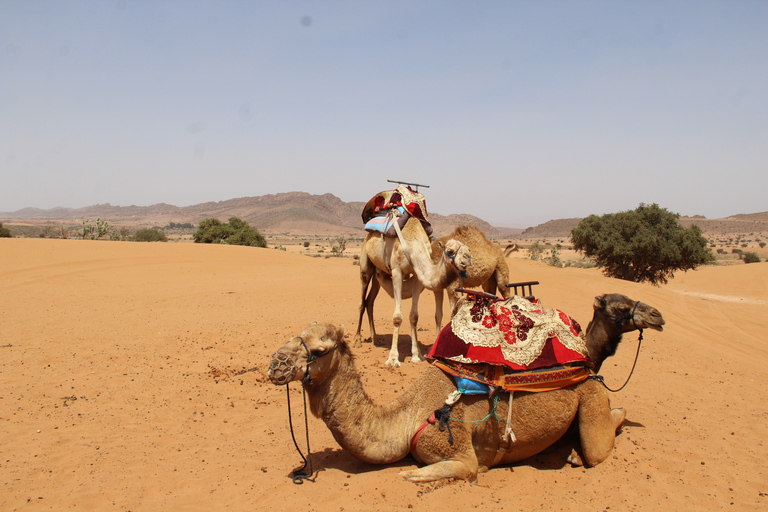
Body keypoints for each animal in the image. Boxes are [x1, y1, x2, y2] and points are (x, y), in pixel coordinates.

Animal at [268, 294, 664, 482]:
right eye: (296, 335)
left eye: (319, 350)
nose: (275, 365)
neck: (406, 417)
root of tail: (589, 366)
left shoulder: (459, 454)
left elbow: (421, 472)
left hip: (590, 395)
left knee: (603, 438)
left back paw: (578, 454)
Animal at [356, 216, 474, 368]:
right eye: (450, 251)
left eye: (468, 248)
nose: (468, 257)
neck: (414, 246)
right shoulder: (396, 271)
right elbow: (397, 317)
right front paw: (393, 359)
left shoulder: (417, 276)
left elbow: (414, 316)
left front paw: (417, 356)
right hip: (365, 264)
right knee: (362, 299)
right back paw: (357, 340)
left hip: (379, 271)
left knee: (369, 301)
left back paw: (375, 339)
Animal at [356, 224, 512, 348]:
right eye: (450, 251)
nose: (468, 259)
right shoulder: (438, 287)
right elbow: (438, 315)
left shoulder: (452, 286)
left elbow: (452, 314)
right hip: (489, 280)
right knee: (367, 301)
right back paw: (372, 339)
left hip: (501, 268)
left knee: (506, 292)